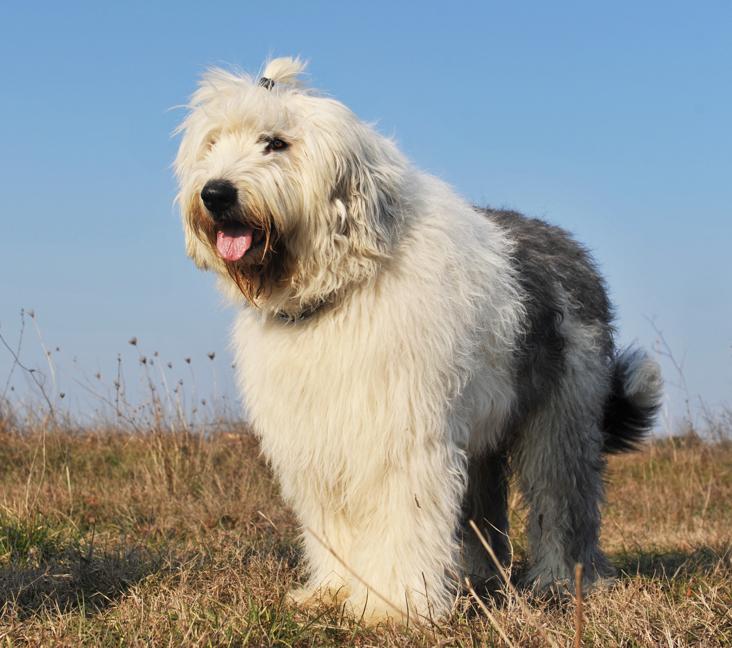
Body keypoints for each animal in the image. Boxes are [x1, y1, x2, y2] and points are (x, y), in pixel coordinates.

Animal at [173, 57, 664, 624]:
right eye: (212, 143)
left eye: (276, 142)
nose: (215, 193)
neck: (342, 287)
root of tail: (570, 246)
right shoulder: (320, 438)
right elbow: (335, 521)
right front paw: (334, 590)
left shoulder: (399, 433)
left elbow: (402, 515)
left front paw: (392, 605)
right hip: (481, 434)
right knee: (483, 509)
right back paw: (479, 577)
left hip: (563, 416)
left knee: (561, 498)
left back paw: (563, 580)